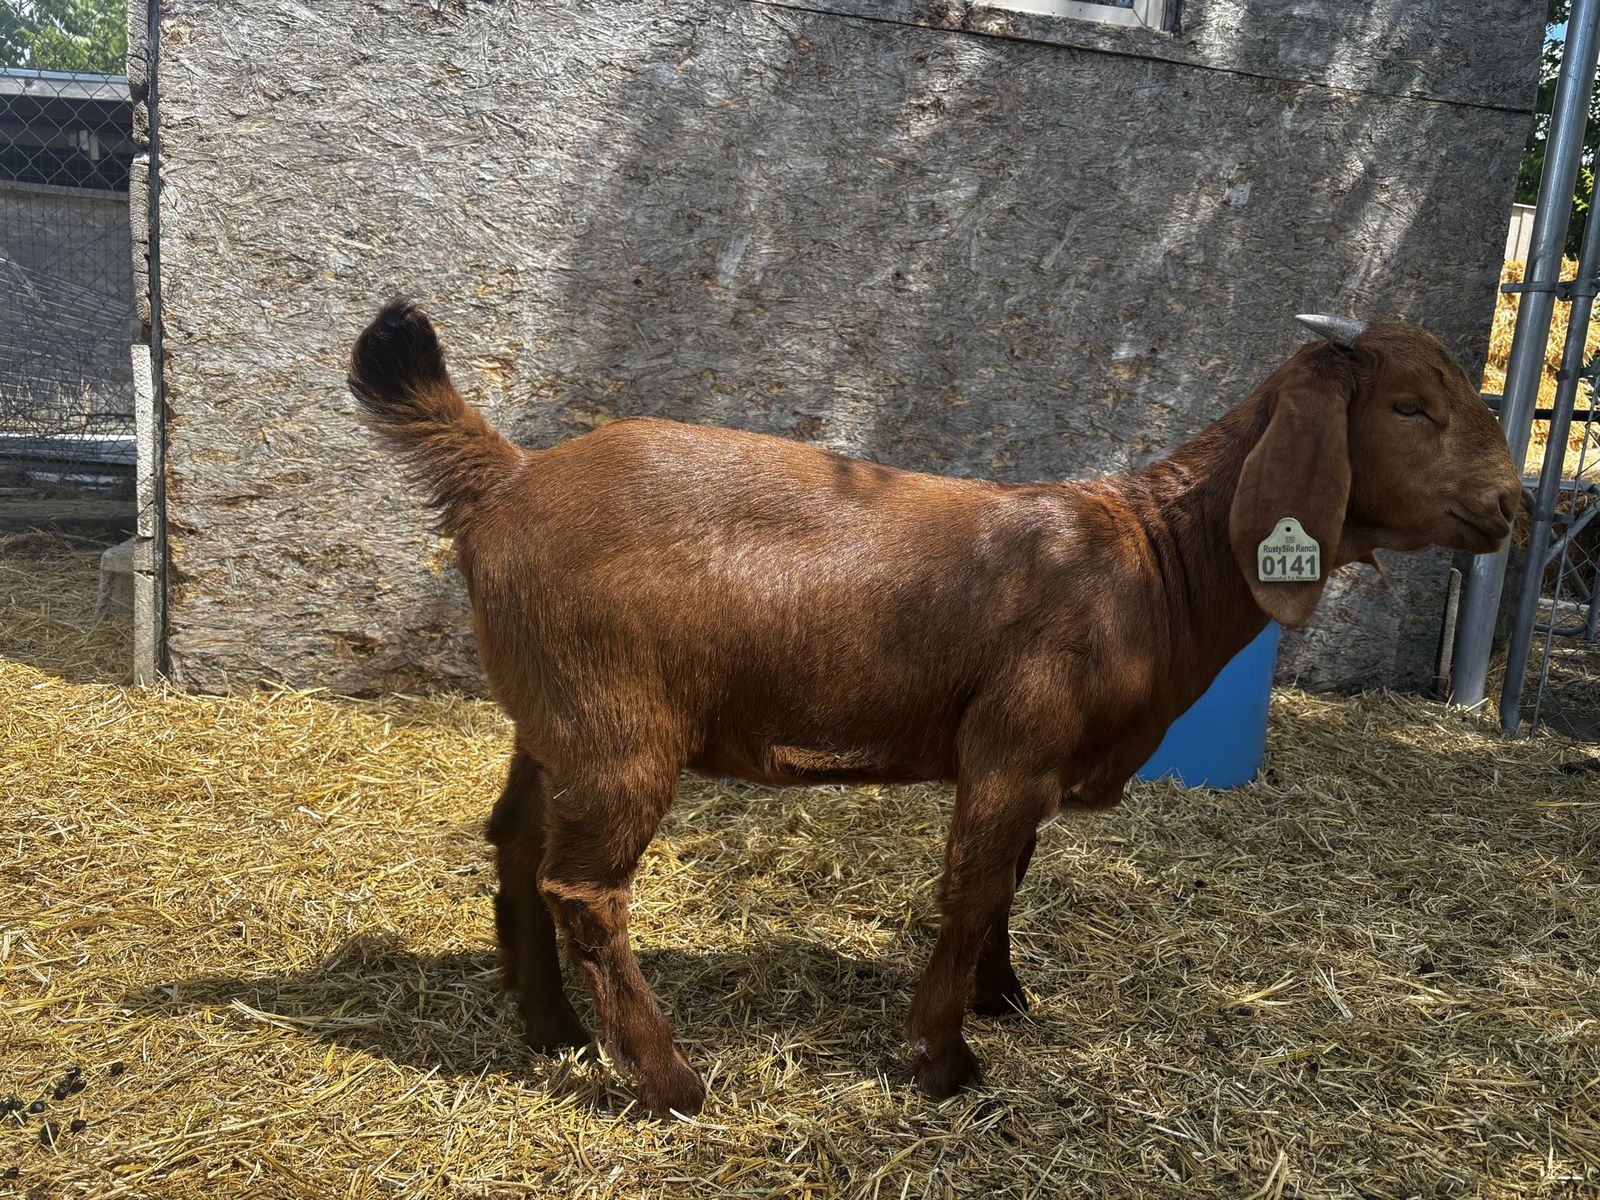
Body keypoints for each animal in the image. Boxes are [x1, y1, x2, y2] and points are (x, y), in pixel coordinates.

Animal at [348, 302, 1519, 1116]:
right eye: (1409, 406)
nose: (1509, 506)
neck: (1147, 561)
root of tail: (506, 479)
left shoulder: (1034, 765)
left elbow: (1008, 884)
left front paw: (1006, 998)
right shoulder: (1012, 747)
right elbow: (970, 887)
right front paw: (945, 1060)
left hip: (547, 719)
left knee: (513, 846)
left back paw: (547, 1029)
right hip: (616, 728)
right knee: (584, 890)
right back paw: (669, 1082)